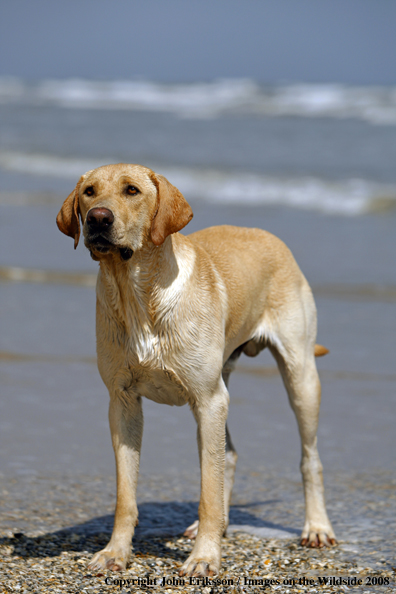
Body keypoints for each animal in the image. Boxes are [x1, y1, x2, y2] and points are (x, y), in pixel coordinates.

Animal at [57, 162, 336, 572]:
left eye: (131, 190)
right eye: (89, 192)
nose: (98, 218)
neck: (139, 293)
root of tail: (267, 235)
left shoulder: (208, 399)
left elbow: (208, 492)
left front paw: (204, 557)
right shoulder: (122, 402)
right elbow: (126, 495)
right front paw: (115, 552)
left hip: (298, 376)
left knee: (310, 458)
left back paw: (316, 527)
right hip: (219, 386)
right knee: (229, 453)